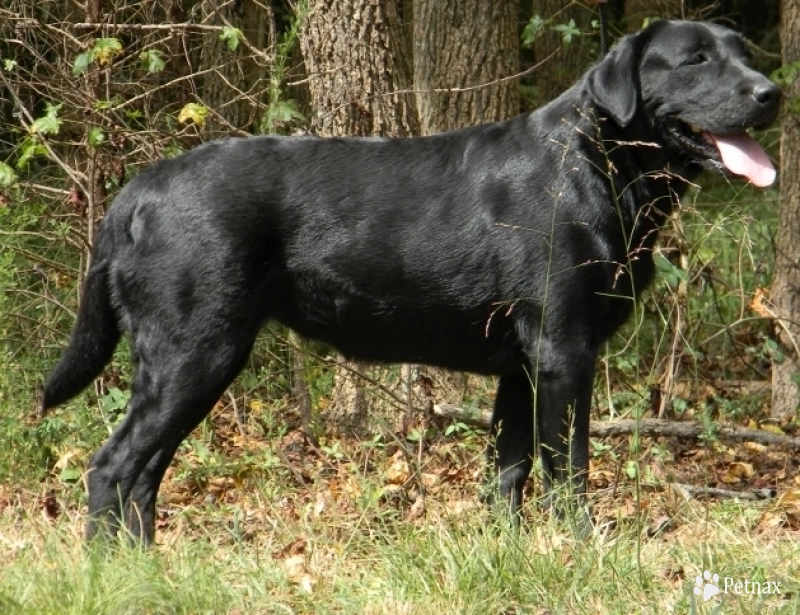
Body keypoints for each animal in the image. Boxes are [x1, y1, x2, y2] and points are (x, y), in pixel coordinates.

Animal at [40, 19, 780, 540]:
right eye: (696, 59)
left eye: (744, 53)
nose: (772, 92)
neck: (596, 166)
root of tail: (137, 190)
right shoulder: (564, 351)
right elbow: (567, 468)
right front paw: (582, 546)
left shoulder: (520, 364)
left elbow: (508, 471)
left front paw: (508, 552)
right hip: (195, 352)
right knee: (113, 468)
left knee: (141, 477)